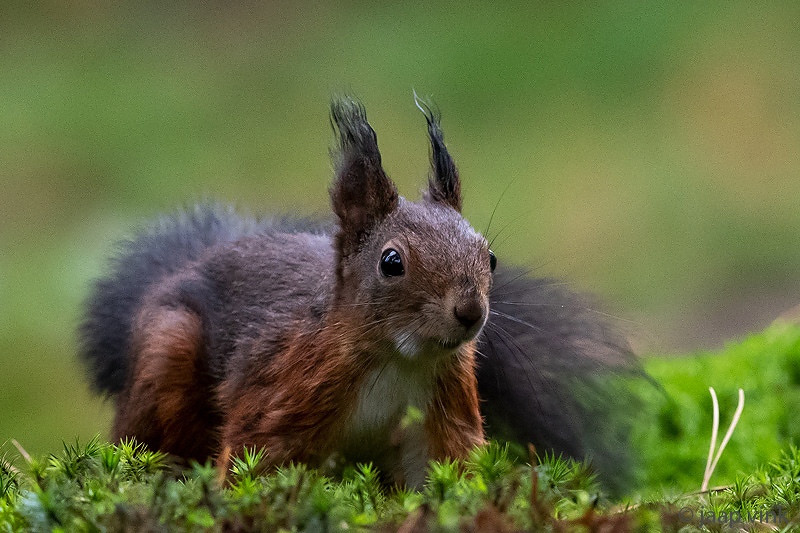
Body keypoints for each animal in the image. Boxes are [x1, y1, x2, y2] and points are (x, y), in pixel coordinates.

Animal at [81, 97, 640, 488]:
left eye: (491, 258)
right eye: (391, 262)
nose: (470, 312)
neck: (399, 359)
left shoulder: (445, 404)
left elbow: (448, 467)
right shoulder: (283, 391)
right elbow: (256, 459)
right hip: (167, 356)